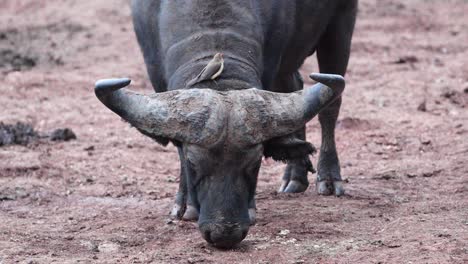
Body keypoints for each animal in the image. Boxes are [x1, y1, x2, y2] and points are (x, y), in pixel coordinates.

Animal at [95, 0, 358, 248]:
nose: (225, 234)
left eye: (255, 163)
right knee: (295, 86)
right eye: (192, 163)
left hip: (340, 26)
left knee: (330, 108)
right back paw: (295, 176)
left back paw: (328, 179)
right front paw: (185, 204)